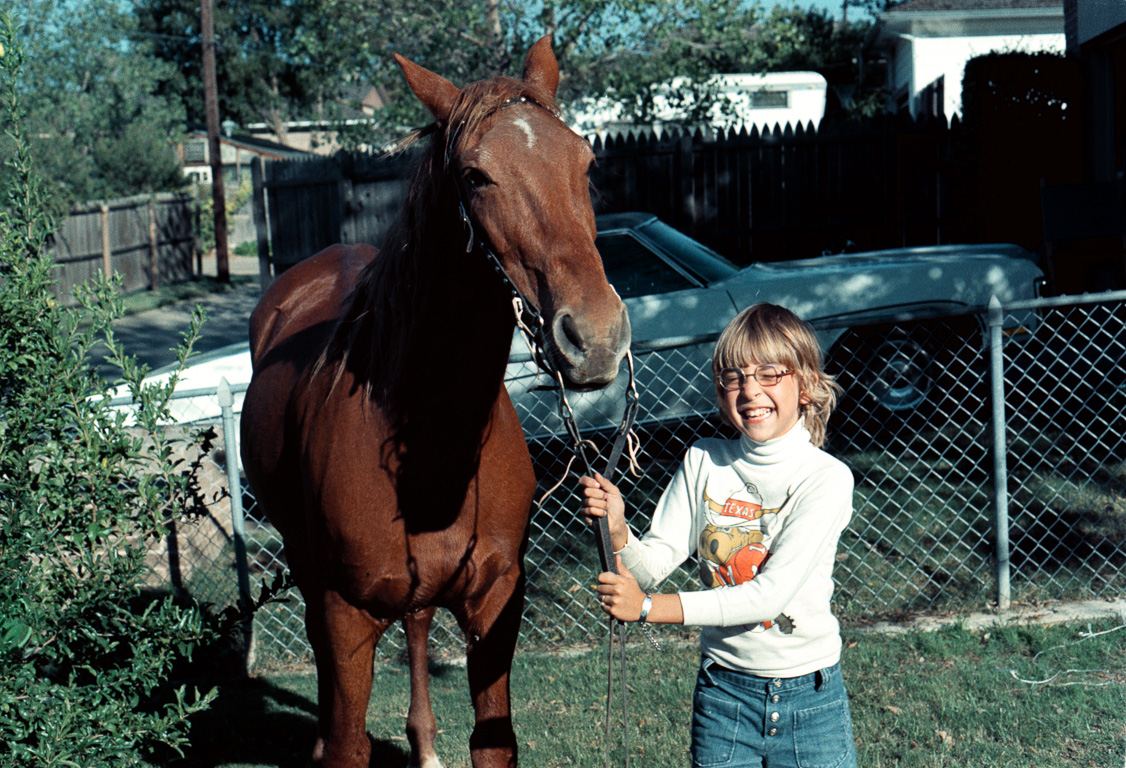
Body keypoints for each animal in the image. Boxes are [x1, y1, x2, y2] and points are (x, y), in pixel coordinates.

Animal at [240, 38, 630, 765]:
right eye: (475, 176)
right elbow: (348, 740)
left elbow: (493, 741)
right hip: (308, 570)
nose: (594, 337)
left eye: (586, 162)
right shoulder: (347, 614)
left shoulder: (498, 601)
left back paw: (423, 743)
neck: (435, 440)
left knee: (418, 623)